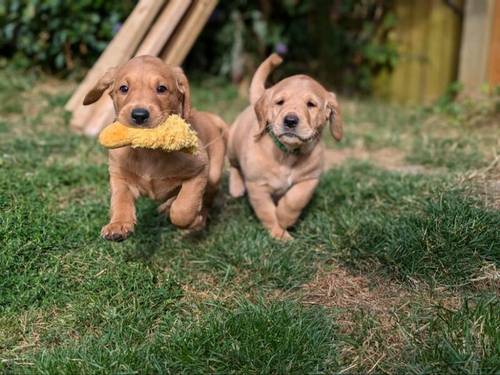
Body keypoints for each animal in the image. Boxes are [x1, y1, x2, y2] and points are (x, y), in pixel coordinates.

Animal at [84, 57, 229, 242]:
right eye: (124, 88)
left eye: (161, 88)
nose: (139, 115)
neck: (148, 150)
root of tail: (210, 117)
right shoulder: (119, 175)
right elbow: (120, 200)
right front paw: (118, 225)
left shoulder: (200, 169)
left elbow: (184, 208)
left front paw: (192, 220)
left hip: (214, 173)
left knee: (207, 199)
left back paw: (197, 220)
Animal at [228, 53, 342, 241]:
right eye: (280, 102)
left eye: (311, 104)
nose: (290, 120)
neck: (288, 153)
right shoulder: (257, 186)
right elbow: (267, 212)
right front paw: (279, 234)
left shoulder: (310, 179)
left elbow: (295, 200)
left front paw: (284, 218)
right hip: (232, 144)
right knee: (233, 165)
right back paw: (236, 187)